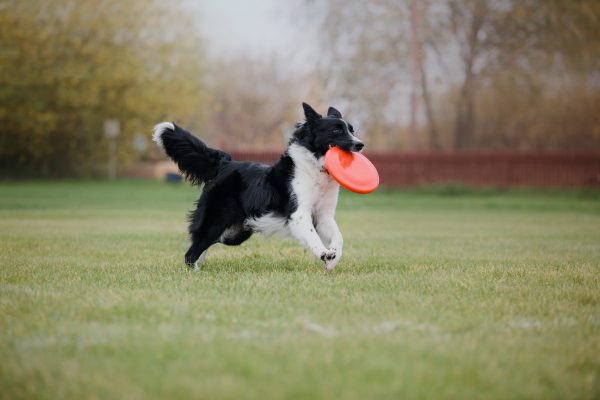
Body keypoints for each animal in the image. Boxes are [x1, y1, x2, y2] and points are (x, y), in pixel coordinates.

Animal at [152, 103, 364, 270]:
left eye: (352, 130)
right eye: (336, 130)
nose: (360, 144)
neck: (315, 168)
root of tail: (224, 163)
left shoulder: (323, 215)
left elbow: (339, 237)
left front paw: (333, 259)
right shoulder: (299, 214)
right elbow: (312, 236)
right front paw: (323, 253)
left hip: (235, 232)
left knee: (205, 244)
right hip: (217, 220)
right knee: (192, 250)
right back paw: (195, 270)